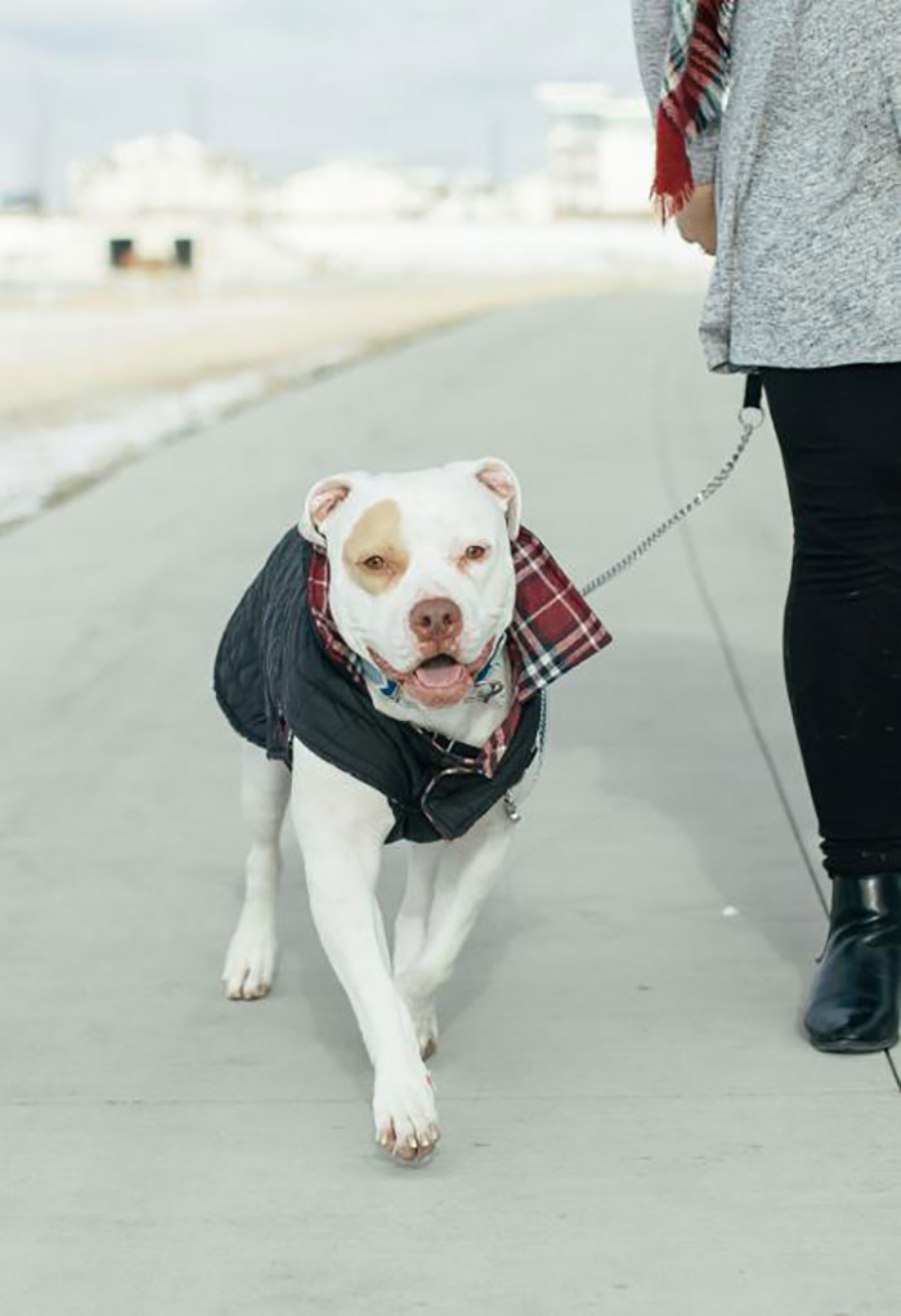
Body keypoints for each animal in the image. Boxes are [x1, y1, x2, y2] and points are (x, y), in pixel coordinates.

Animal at [214, 460, 607, 1163]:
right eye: (376, 561)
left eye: (474, 552)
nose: (436, 614)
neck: (428, 730)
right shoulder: (339, 861)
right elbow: (370, 979)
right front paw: (403, 1096)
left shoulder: (485, 833)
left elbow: (434, 955)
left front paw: (408, 1015)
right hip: (260, 754)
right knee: (262, 856)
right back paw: (252, 954)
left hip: (437, 828)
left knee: (419, 905)